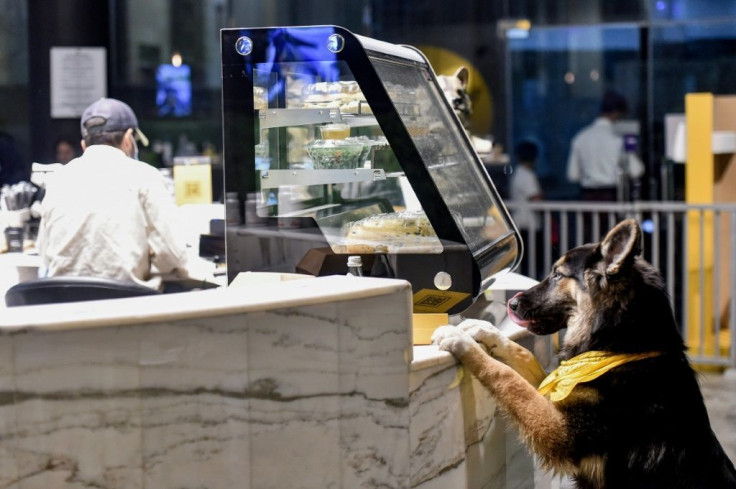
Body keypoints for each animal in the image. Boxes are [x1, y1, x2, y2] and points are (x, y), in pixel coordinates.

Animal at [432, 220, 736, 488]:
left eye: (557, 275)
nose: (512, 304)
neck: (622, 346)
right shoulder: (557, 393)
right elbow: (522, 356)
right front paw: (483, 329)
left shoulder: (558, 431)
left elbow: (507, 378)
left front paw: (461, 341)